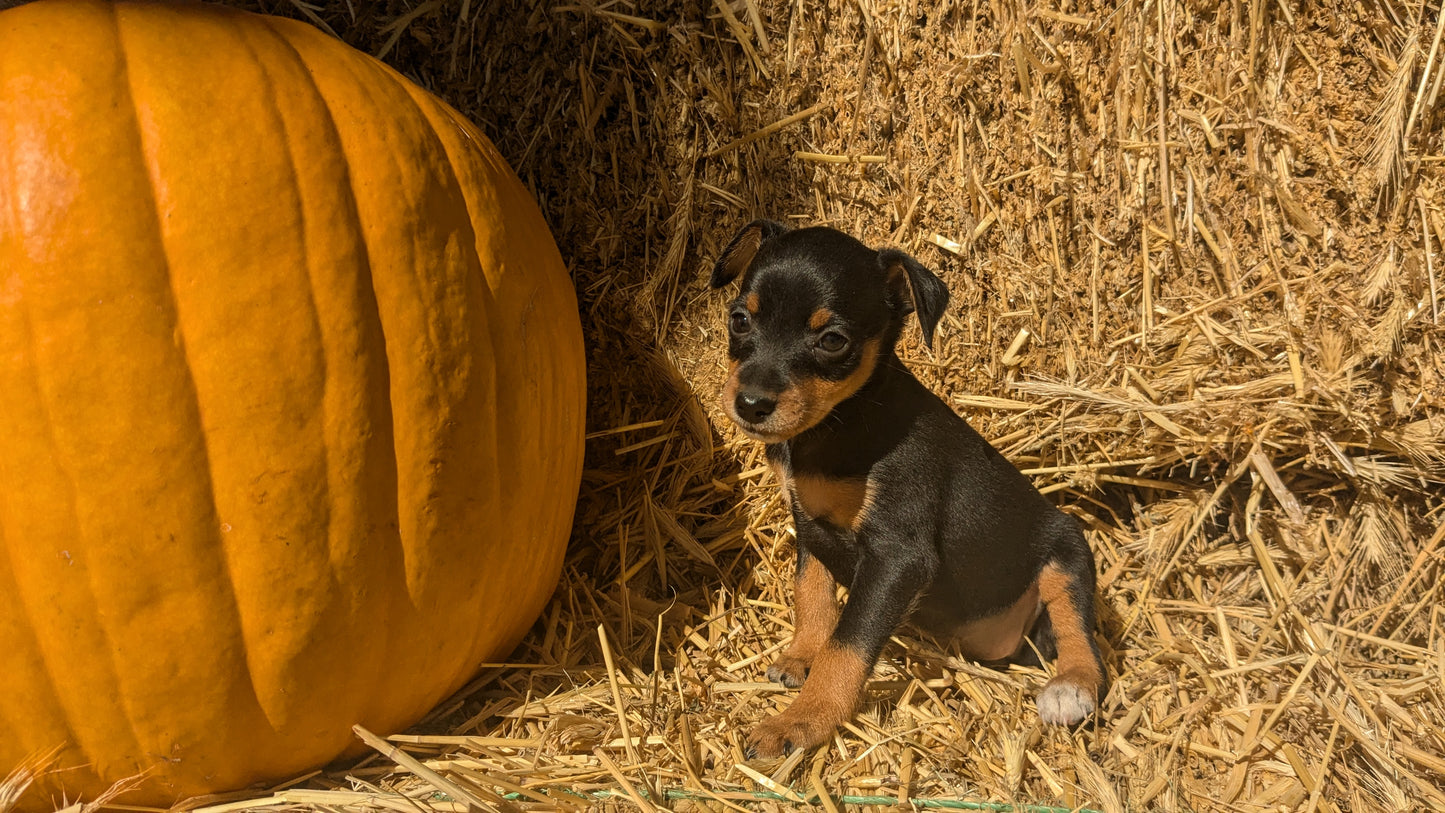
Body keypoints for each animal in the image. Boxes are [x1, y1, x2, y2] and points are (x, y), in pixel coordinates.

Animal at [710, 218, 1103, 756]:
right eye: (739, 320)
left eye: (832, 341)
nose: (750, 404)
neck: (845, 419)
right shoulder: (809, 524)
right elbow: (811, 595)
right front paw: (801, 657)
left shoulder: (898, 556)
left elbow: (848, 644)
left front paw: (802, 720)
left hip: (1067, 549)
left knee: (1078, 629)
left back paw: (1072, 686)